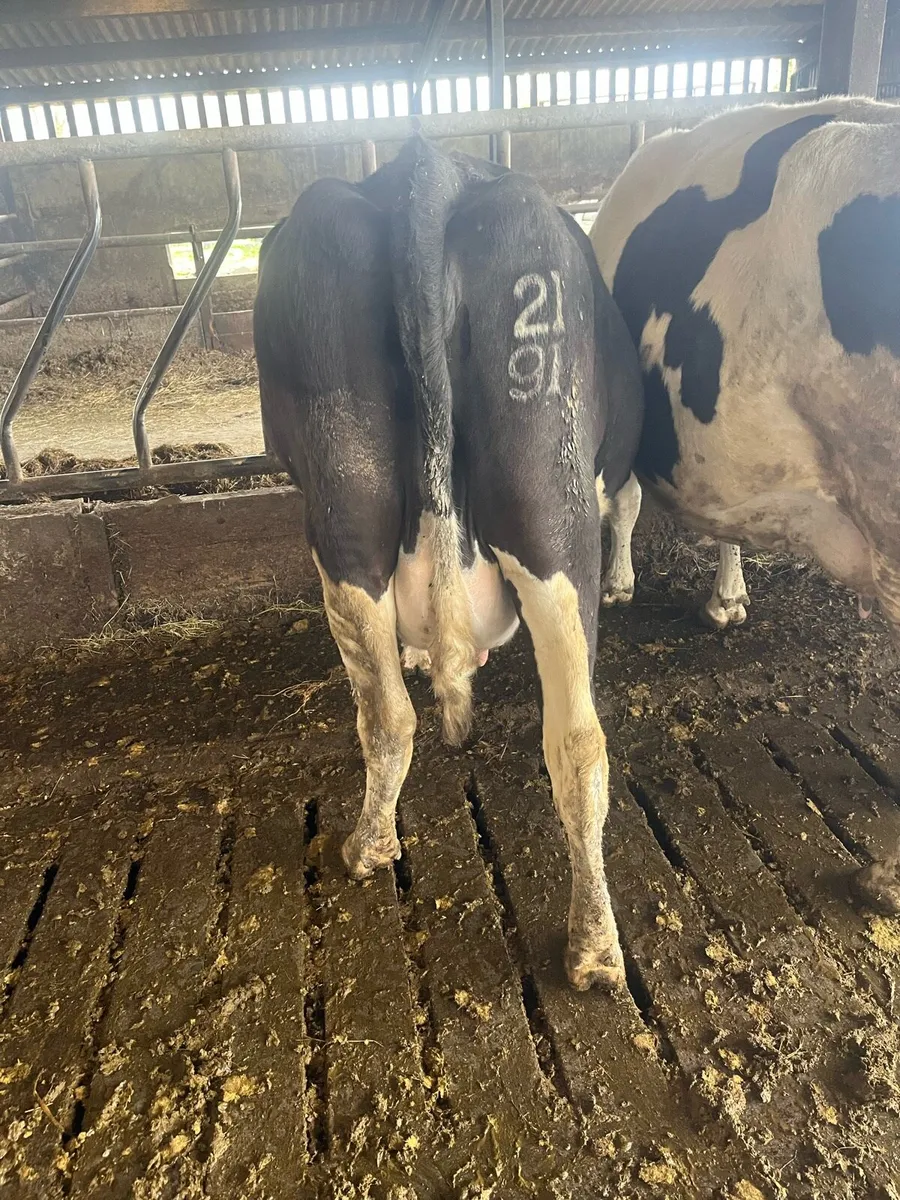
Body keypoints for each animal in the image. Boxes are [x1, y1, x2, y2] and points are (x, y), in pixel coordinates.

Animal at [253, 137, 643, 990]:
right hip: (549, 497)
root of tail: (426, 166)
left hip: (345, 497)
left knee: (387, 711)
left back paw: (369, 847)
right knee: (579, 740)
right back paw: (596, 948)